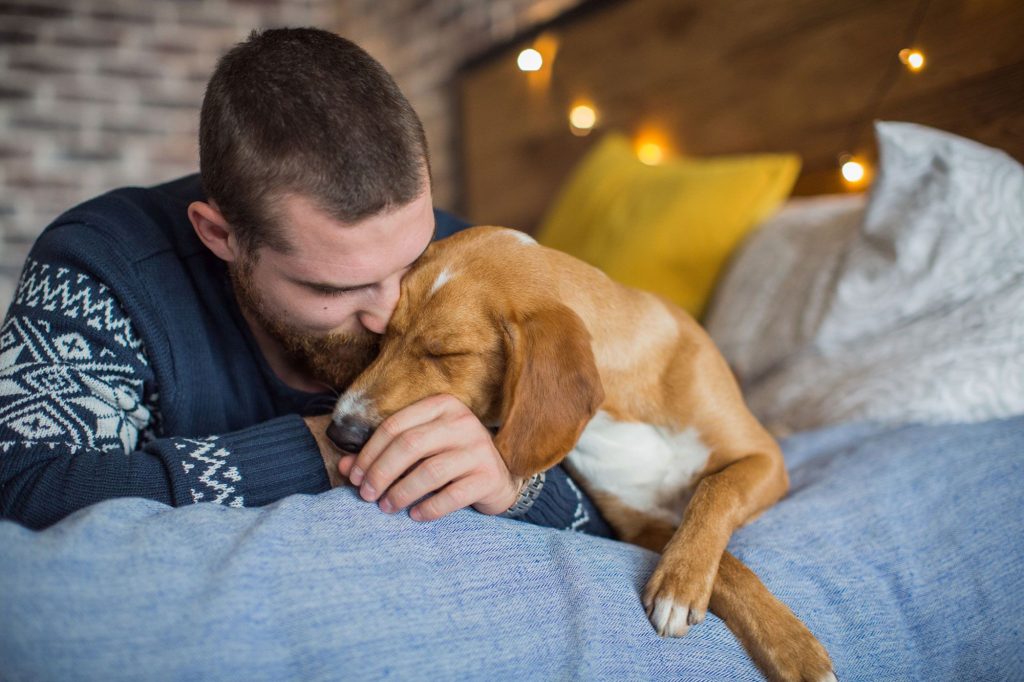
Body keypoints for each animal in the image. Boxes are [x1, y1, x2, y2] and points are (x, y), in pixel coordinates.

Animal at [325, 224, 831, 679]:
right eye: (383, 338)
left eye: (443, 354)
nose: (337, 431)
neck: (623, 409)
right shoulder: (640, 524)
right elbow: (728, 567)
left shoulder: (764, 460)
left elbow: (714, 492)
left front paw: (776, 637)